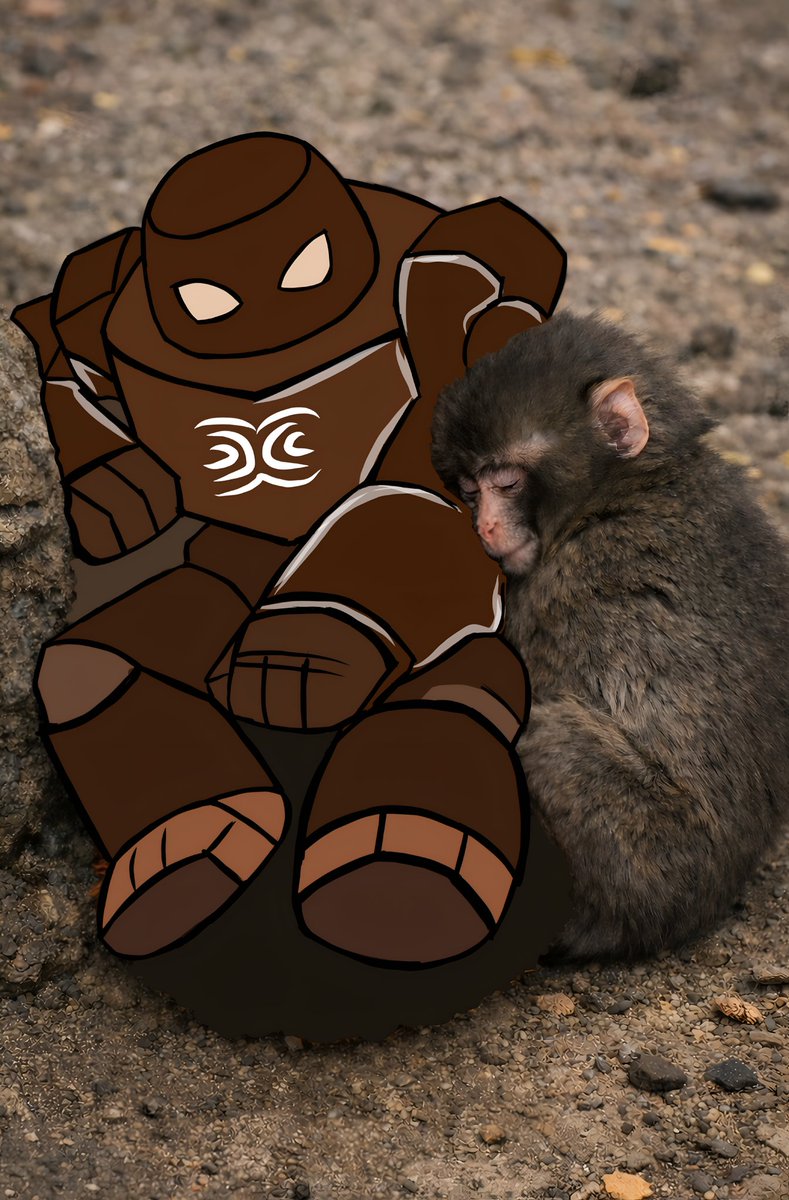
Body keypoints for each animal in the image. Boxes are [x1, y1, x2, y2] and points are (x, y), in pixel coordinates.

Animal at [431, 310, 789, 960]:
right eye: (470, 488)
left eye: (507, 482)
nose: (485, 527)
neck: (628, 485)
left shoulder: (568, 583)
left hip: (644, 862)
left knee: (542, 738)